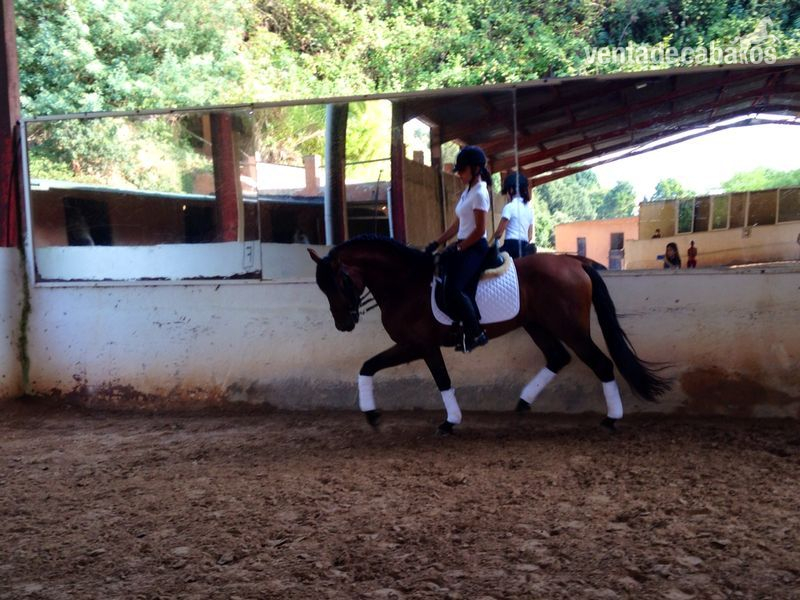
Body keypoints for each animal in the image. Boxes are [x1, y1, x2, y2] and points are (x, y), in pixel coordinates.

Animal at [308, 235, 669, 434]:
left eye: (340, 281)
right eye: (321, 287)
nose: (343, 324)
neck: (406, 283)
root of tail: (576, 263)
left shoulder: (419, 345)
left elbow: (440, 380)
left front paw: (449, 422)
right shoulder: (414, 346)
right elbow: (367, 366)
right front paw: (371, 414)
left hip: (570, 327)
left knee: (601, 364)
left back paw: (611, 419)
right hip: (537, 325)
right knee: (557, 357)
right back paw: (523, 403)